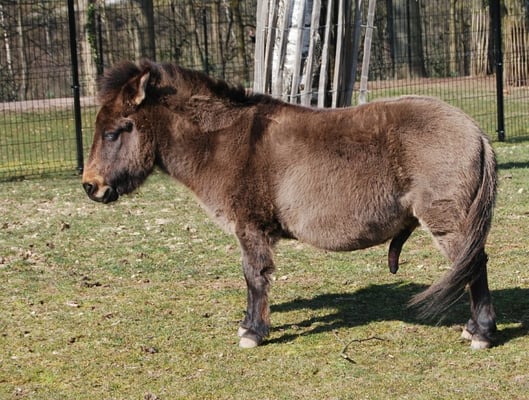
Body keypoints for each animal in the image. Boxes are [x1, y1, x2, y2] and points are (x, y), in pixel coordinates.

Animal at [82, 60, 497, 349]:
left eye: (113, 132)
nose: (90, 187)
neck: (225, 144)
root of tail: (475, 131)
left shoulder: (250, 229)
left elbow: (254, 277)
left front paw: (252, 332)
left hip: (447, 222)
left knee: (474, 265)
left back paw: (481, 333)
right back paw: (474, 328)